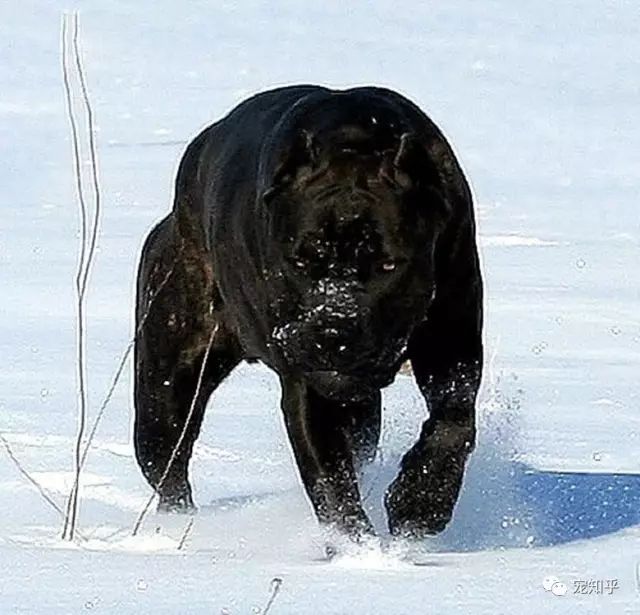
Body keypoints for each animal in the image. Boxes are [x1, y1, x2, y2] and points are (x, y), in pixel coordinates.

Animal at [136, 85, 484, 540]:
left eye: (388, 265)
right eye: (300, 260)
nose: (333, 328)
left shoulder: (453, 344)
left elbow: (454, 422)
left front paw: (420, 503)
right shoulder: (309, 389)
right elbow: (331, 486)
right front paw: (359, 548)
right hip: (164, 392)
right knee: (170, 471)